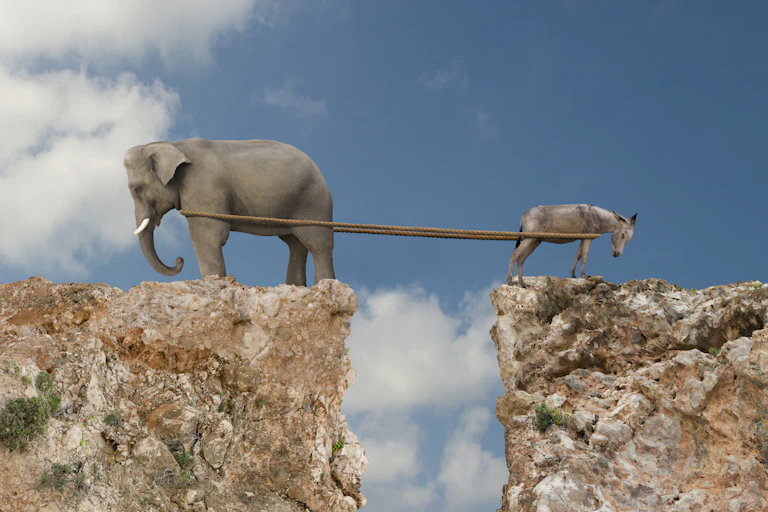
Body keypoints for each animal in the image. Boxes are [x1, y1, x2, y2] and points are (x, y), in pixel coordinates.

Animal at [124, 138, 335, 286]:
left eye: (137, 189)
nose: (179, 259)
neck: (175, 145)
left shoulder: (203, 189)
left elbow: (207, 236)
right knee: (295, 244)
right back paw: (294, 287)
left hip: (313, 201)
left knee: (318, 244)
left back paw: (323, 284)